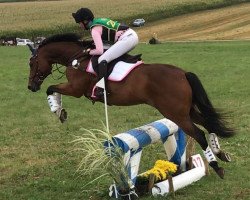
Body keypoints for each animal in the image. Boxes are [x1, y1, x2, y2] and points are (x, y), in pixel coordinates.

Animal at [26, 33, 234, 180]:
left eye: (31, 63)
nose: (31, 87)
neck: (76, 58)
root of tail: (183, 73)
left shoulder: (75, 89)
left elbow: (51, 89)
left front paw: (58, 110)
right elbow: (52, 89)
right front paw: (59, 111)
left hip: (176, 114)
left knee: (199, 133)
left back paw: (216, 166)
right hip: (186, 111)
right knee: (208, 123)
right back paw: (220, 153)